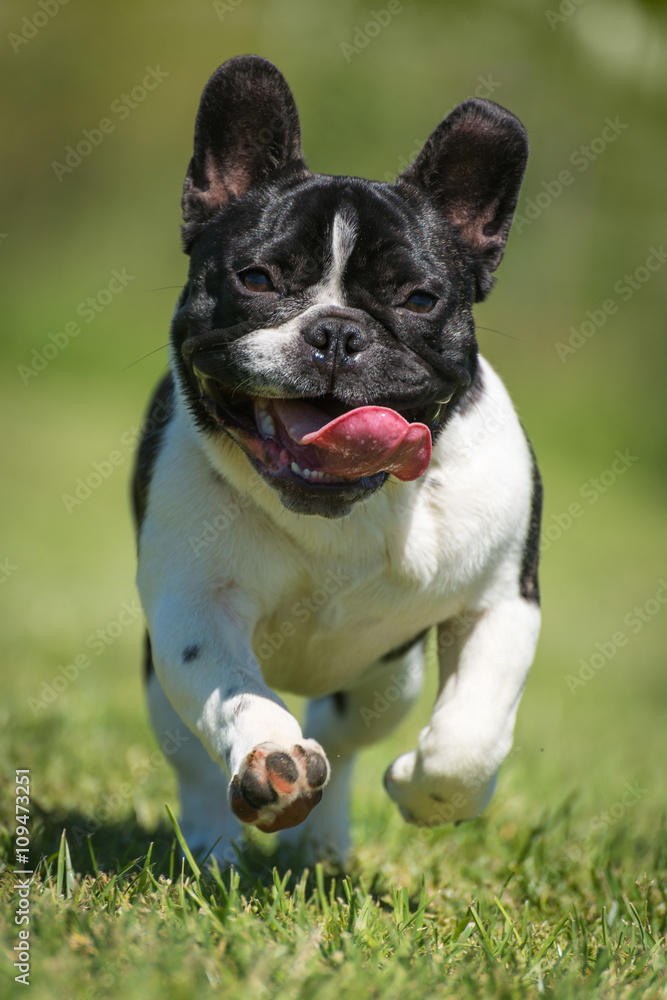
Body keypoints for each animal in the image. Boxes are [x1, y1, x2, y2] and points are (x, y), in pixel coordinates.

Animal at [132, 58, 544, 864]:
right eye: (257, 279)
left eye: (419, 299)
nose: (335, 333)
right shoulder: (194, 604)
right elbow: (236, 693)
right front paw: (272, 759)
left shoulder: (502, 601)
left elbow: (470, 736)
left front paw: (427, 791)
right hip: (160, 689)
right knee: (195, 761)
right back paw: (214, 846)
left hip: (385, 678)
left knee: (345, 735)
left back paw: (320, 847)